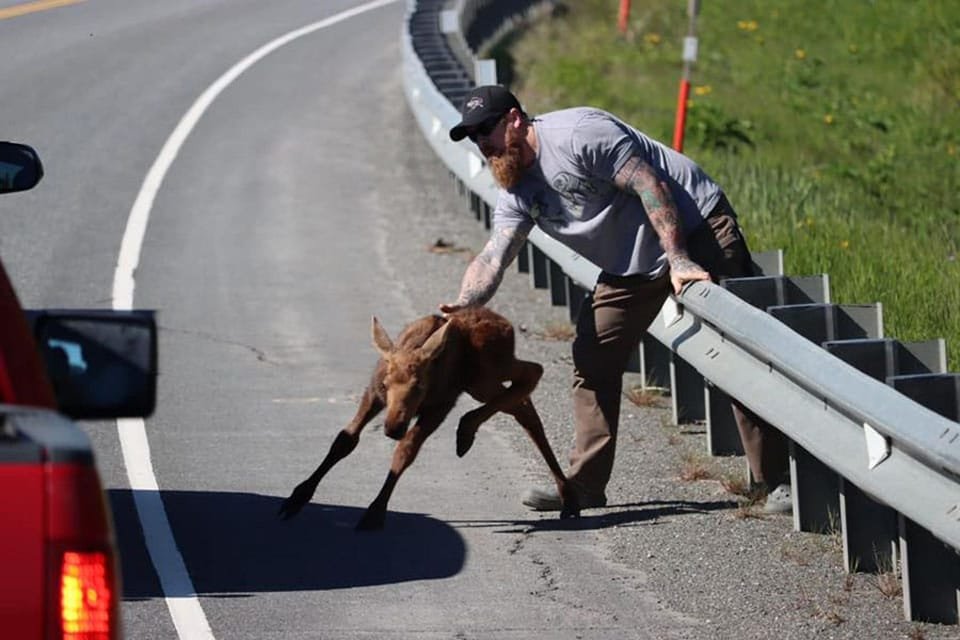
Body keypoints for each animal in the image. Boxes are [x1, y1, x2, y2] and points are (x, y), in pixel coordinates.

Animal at [278, 304, 576, 528]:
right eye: (386, 384)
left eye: (419, 386)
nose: (393, 427)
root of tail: (507, 324)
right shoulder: (373, 396)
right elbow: (345, 439)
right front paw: (297, 496)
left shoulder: (439, 406)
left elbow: (405, 451)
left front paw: (376, 511)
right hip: (483, 381)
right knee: (523, 404)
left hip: (484, 374)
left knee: (533, 373)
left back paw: (467, 430)